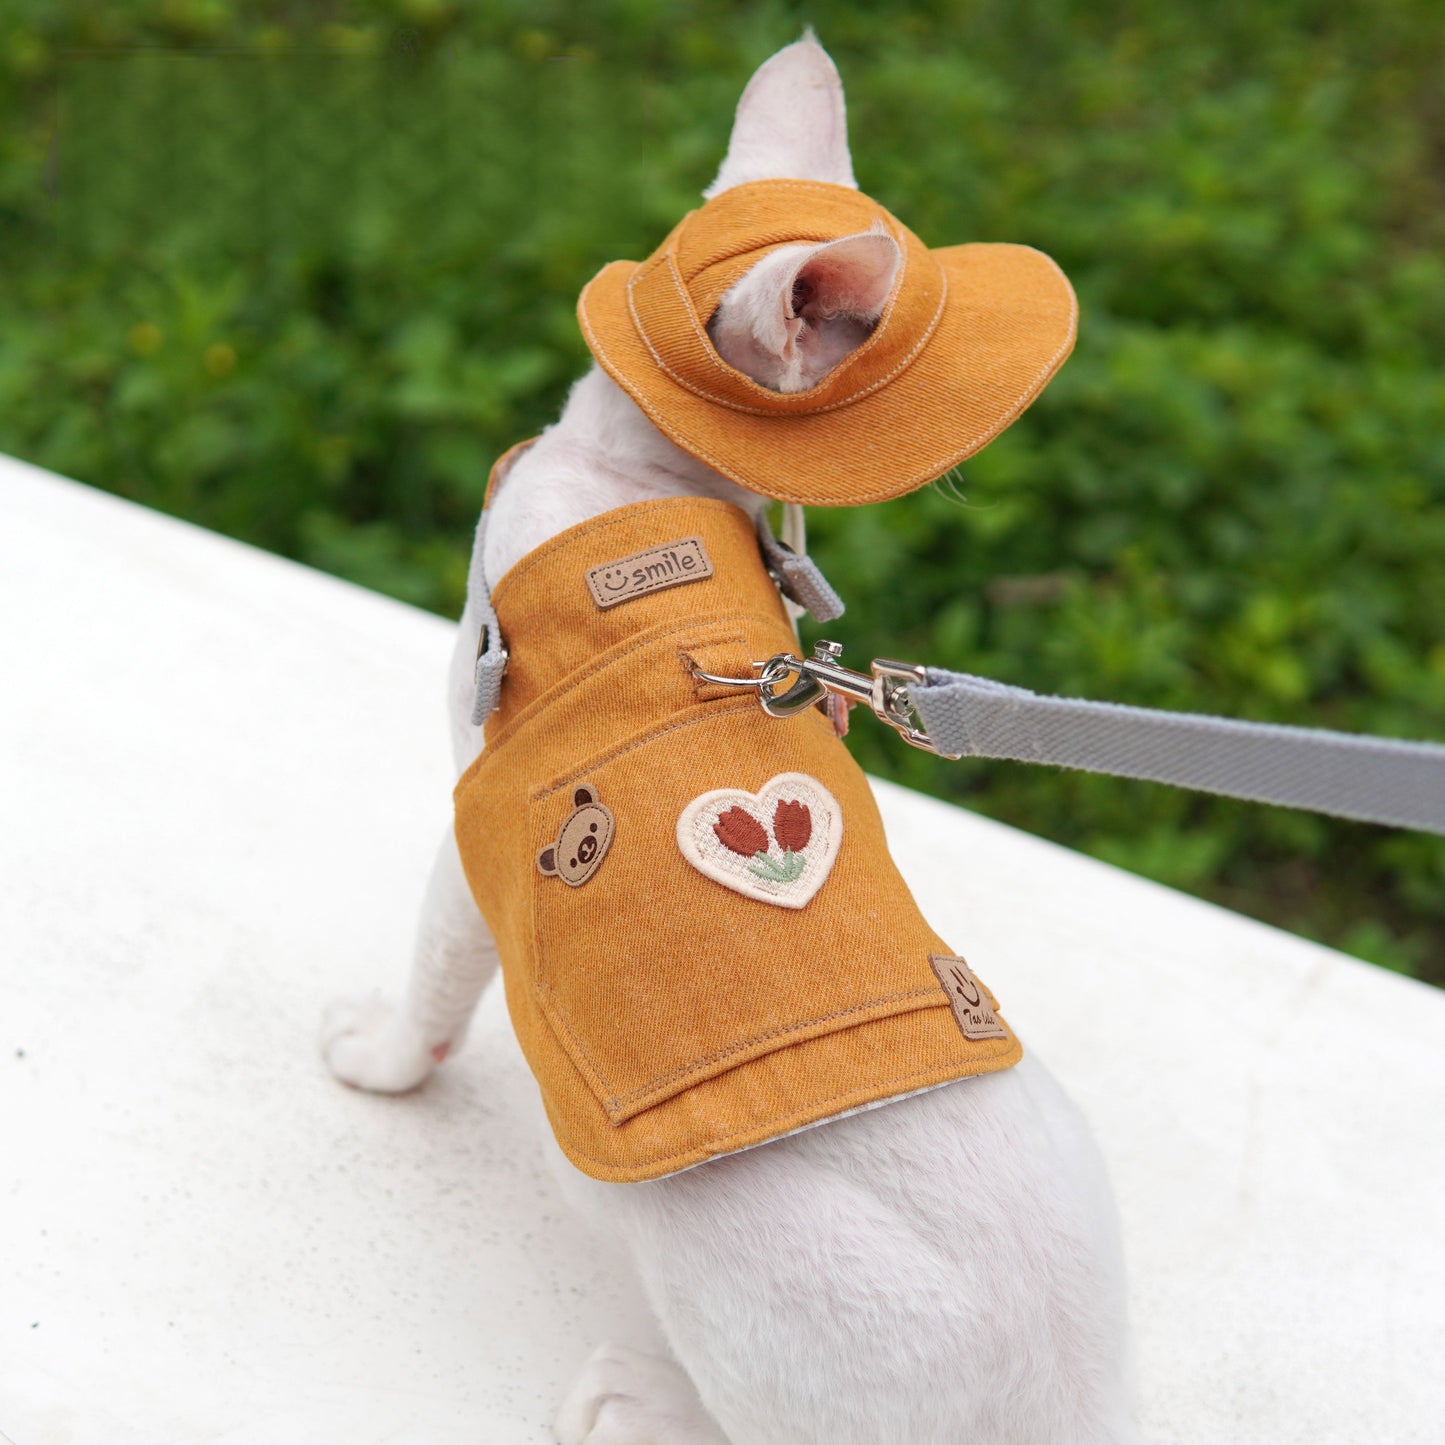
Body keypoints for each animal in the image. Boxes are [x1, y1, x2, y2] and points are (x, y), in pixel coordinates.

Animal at [319, 36, 1138, 1445]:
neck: (634, 480)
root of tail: (1071, 1411)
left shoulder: (479, 825)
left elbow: (432, 974)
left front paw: (379, 1061)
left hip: (721, 1242)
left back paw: (635, 1398)